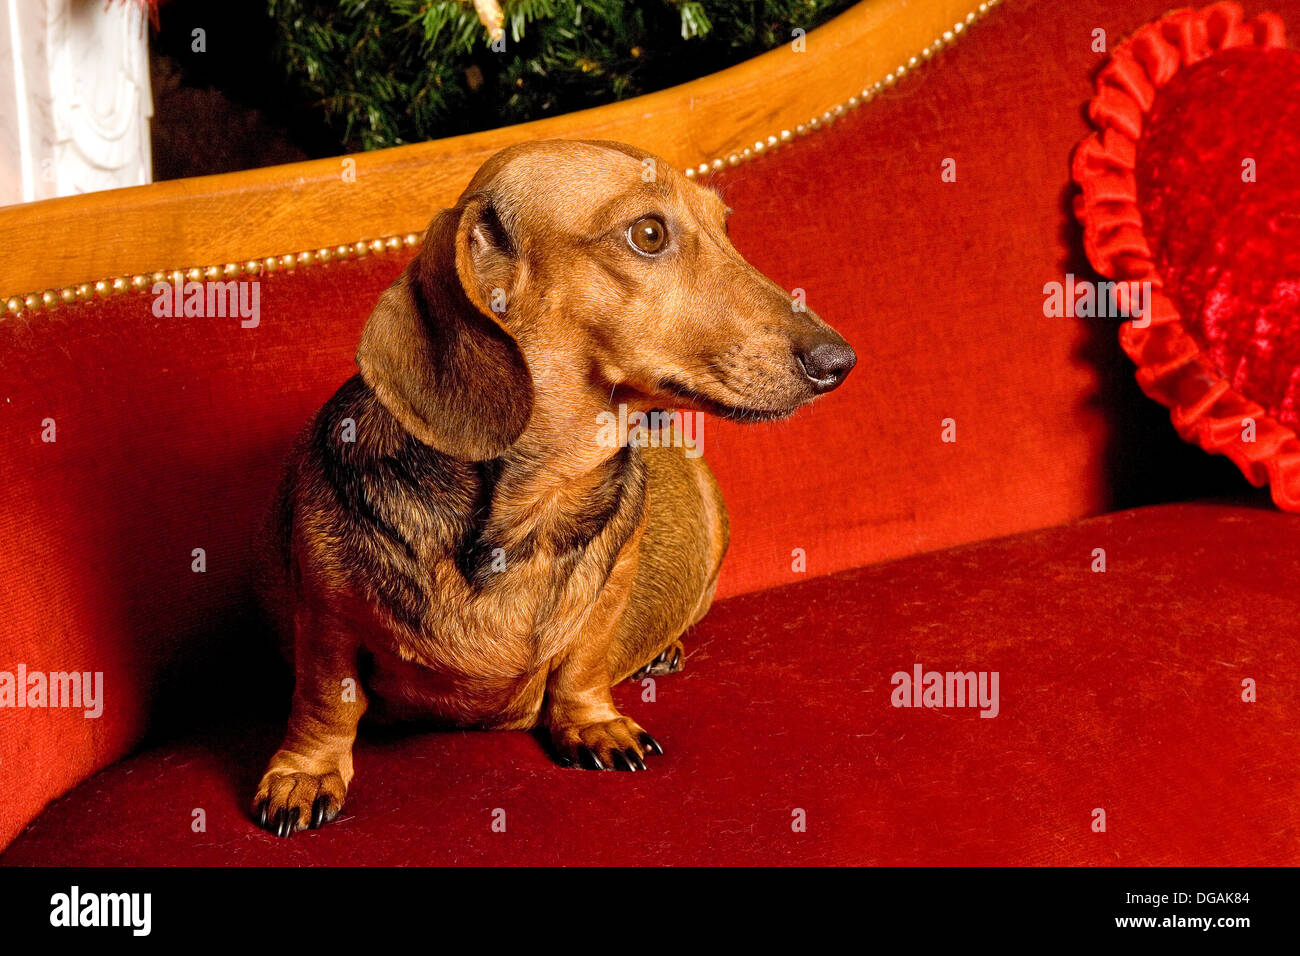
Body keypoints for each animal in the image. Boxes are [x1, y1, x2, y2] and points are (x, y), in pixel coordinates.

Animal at [250, 138, 852, 832]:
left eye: (726, 229)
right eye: (649, 234)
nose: (840, 362)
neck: (541, 501)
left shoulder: (614, 582)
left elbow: (581, 666)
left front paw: (593, 725)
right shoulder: (325, 617)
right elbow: (328, 701)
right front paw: (306, 773)